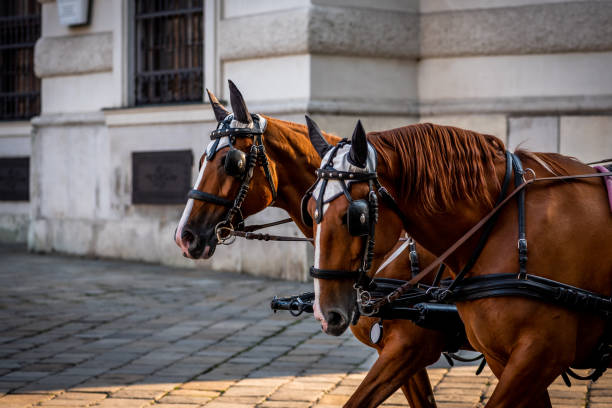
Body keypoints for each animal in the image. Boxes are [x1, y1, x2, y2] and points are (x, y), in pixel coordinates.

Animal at [308, 118, 612, 408]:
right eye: (311, 210)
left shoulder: (542, 354)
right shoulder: (502, 357)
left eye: (353, 217)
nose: (325, 314)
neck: (501, 223)